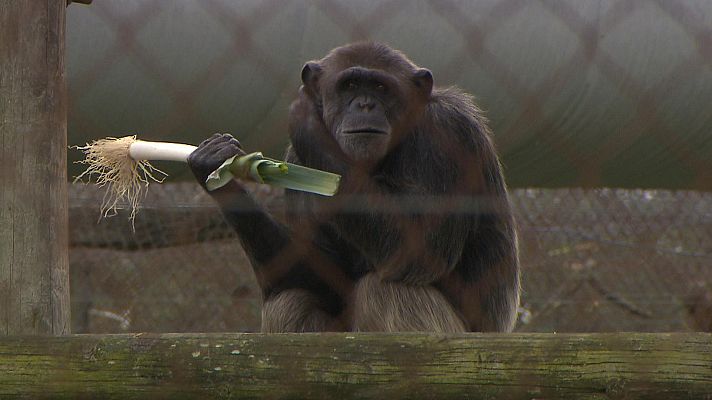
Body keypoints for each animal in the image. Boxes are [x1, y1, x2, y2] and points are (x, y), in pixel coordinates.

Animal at [186, 42, 520, 332]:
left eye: (381, 88)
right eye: (349, 85)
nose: (365, 104)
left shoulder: (446, 132)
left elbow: (420, 244)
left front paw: (307, 120)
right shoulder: (295, 161)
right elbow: (322, 268)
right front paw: (218, 169)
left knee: (385, 291)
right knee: (289, 299)